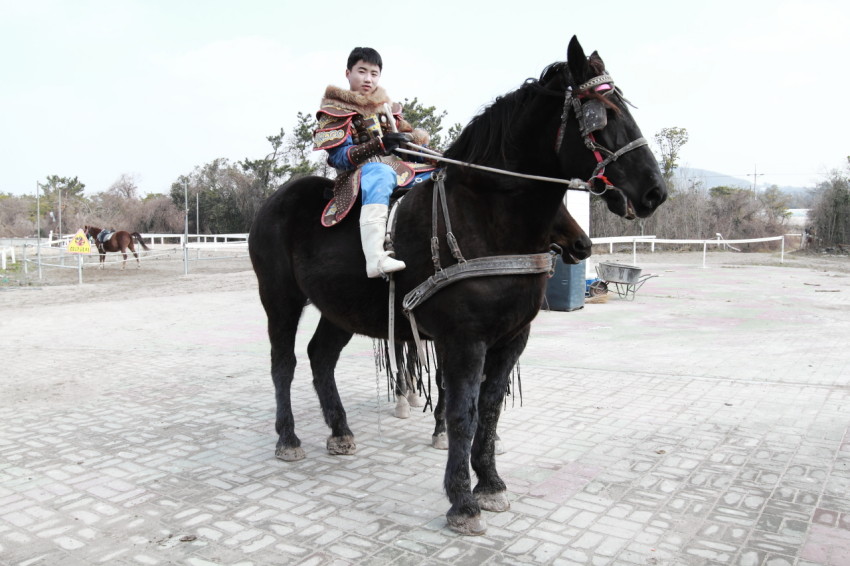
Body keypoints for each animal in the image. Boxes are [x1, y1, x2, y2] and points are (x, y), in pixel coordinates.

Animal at [248, 38, 664, 536]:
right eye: (602, 113)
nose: (654, 191)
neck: (485, 216)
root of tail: (275, 201)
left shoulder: (510, 339)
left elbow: (490, 410)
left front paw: (491, 485)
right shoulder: (464, 340)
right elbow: (463, 413)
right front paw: (462, 501)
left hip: (340, 309)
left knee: (320, 357)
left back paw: (341, 432)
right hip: (280, 300)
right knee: (284, 363)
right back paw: (288, 438)